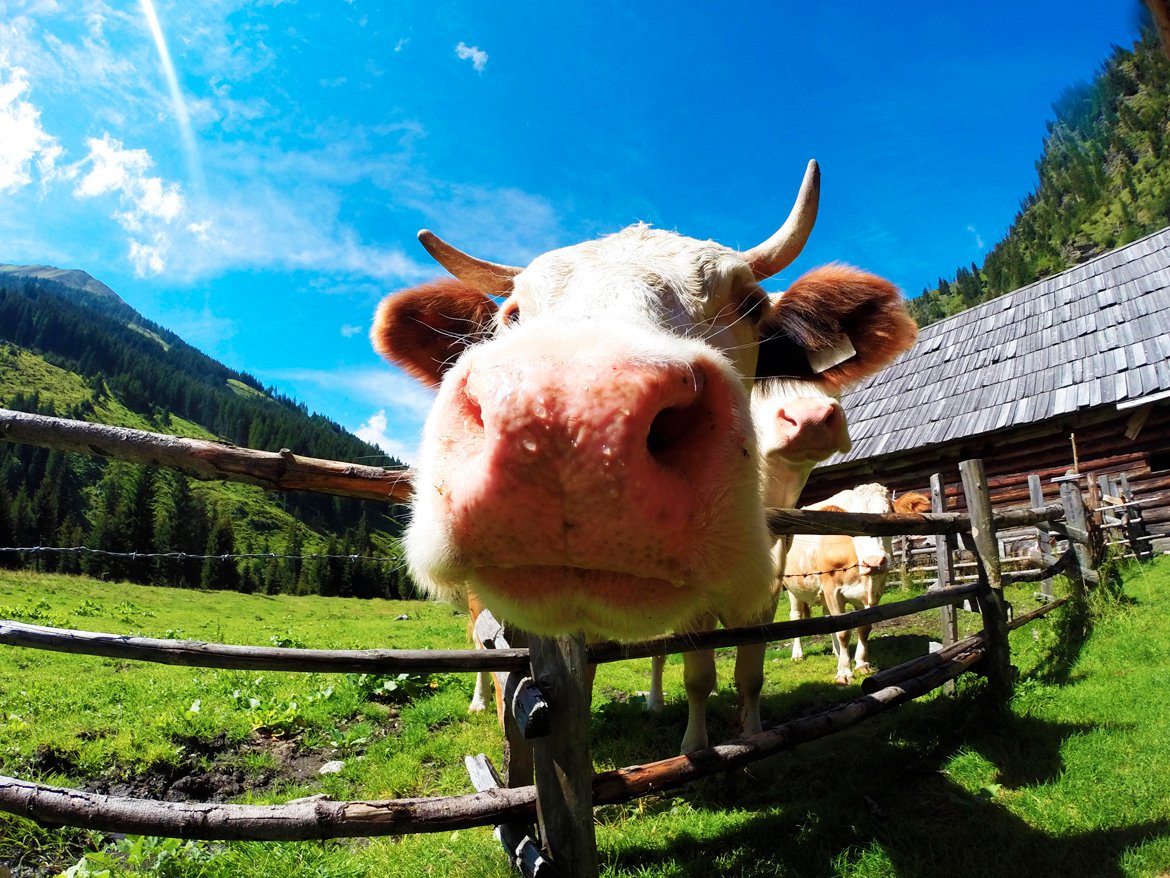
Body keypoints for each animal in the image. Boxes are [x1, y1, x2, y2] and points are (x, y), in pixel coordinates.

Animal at [783, 484, 931, 684]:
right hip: (793, 589)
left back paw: (837, 653)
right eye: (853, 524)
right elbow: (844, 632)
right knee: (796, 615)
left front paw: (862, 664)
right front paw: (844, 672)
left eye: (888, 516)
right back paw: (798, 654)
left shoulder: (875, 591)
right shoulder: (832, 590)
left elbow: (864, 628)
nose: (874, 561)